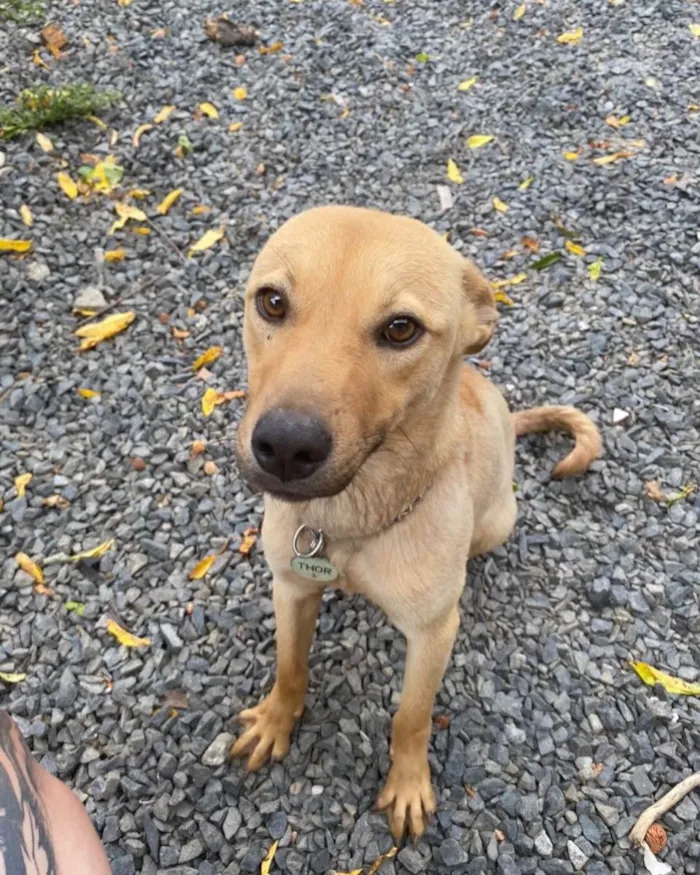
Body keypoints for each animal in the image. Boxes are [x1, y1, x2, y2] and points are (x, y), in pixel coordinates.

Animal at [231, 202, 600, 840]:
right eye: (272, 302)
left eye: (401, 329)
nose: (285, 447)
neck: (352, 522)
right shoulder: (291, 587)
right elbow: (289, 666)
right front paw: (277, 720)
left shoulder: (431, 634)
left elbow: (412, 715)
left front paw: (407, 784)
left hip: (496, 523)